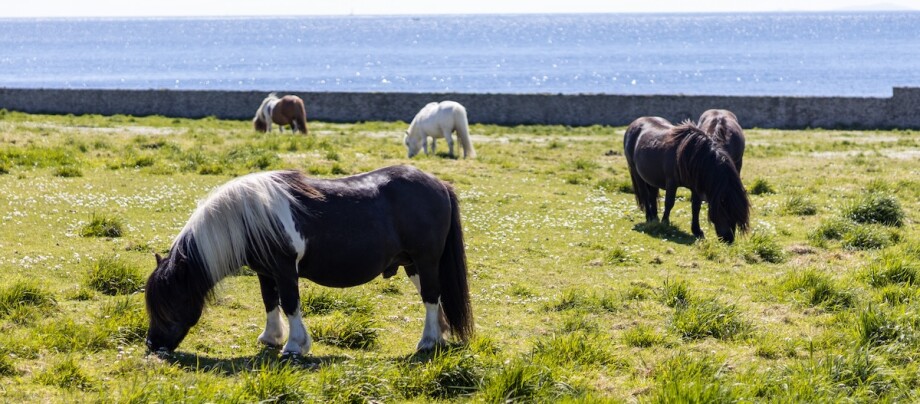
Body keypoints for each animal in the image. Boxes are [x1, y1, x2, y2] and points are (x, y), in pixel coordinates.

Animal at [146, 164, 474, 354]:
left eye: (171, 303)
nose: (153, 345)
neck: (246, 218)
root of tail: (440, 185)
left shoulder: (284, 270)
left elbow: (291, 305)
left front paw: (295, 346)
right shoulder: (266, 272)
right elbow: (270, 303)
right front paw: (271, 338)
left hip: (425, 260)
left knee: (430, 297)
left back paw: (427, 342)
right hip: (412, 264)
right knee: (434, 296)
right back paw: (439, 337)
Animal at [620, 117, 752, 243]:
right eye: (726, 212)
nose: (728, 239)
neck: (692, 156)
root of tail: (634, 124)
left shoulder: (696, 188)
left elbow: (696, 207)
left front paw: (697, 230)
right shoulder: (671, 182)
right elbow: (669, 203)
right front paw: (665, 223)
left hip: (651, 177)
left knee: (652, 195)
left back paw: (654, 218)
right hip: (636, 173)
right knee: (645, 195)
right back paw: (649, 217)